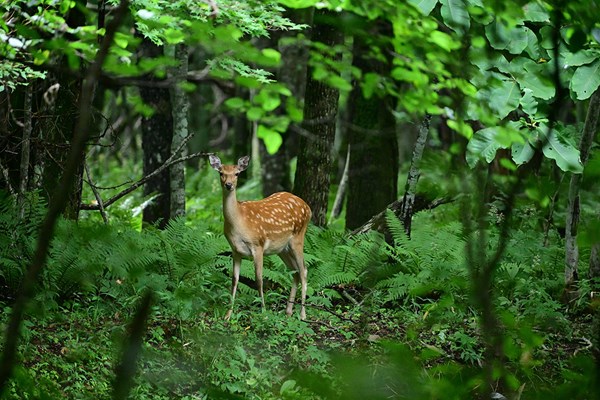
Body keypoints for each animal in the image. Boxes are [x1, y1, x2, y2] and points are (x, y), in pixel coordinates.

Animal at [210, 155, 312, 320]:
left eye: (237, 173)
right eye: (221, 173)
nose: (229, 185)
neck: (239, 222)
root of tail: (308, 208)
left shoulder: (258, 245)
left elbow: (259, 280)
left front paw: (263, 313)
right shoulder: (235, 250)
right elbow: (234, 280)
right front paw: (228, 314)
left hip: (298, 237)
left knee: (303, 270)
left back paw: (302, 315)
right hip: (282, 248)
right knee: (295, 271)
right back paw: (288, 311)